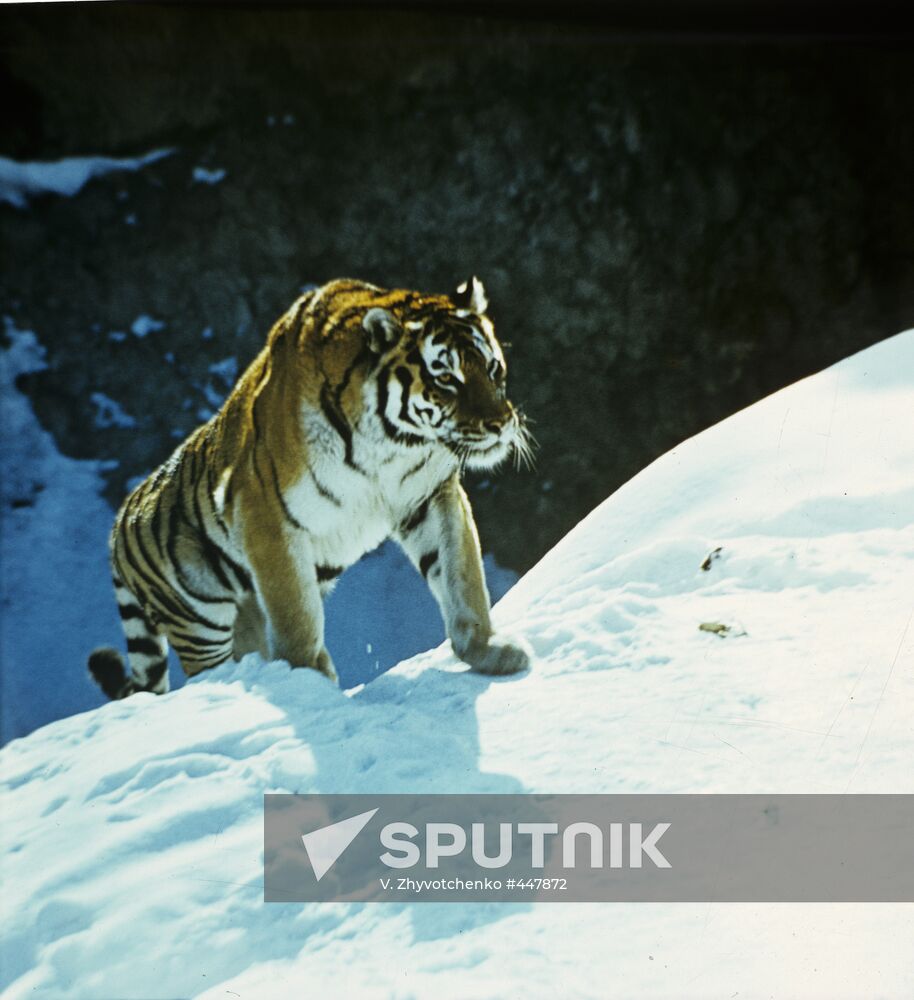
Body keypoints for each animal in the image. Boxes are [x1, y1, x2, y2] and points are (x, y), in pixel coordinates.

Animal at [88, 276, 534, 700]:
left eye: (493, 368)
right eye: (445, 379)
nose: (500, 423)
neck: (395, 446)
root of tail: (118, 524)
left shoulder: (428, 496)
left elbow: (461, 576)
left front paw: (489, 651)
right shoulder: (265, 516)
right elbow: (297, 618)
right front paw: (310, 686)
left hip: (242, 615)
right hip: (200, 623)